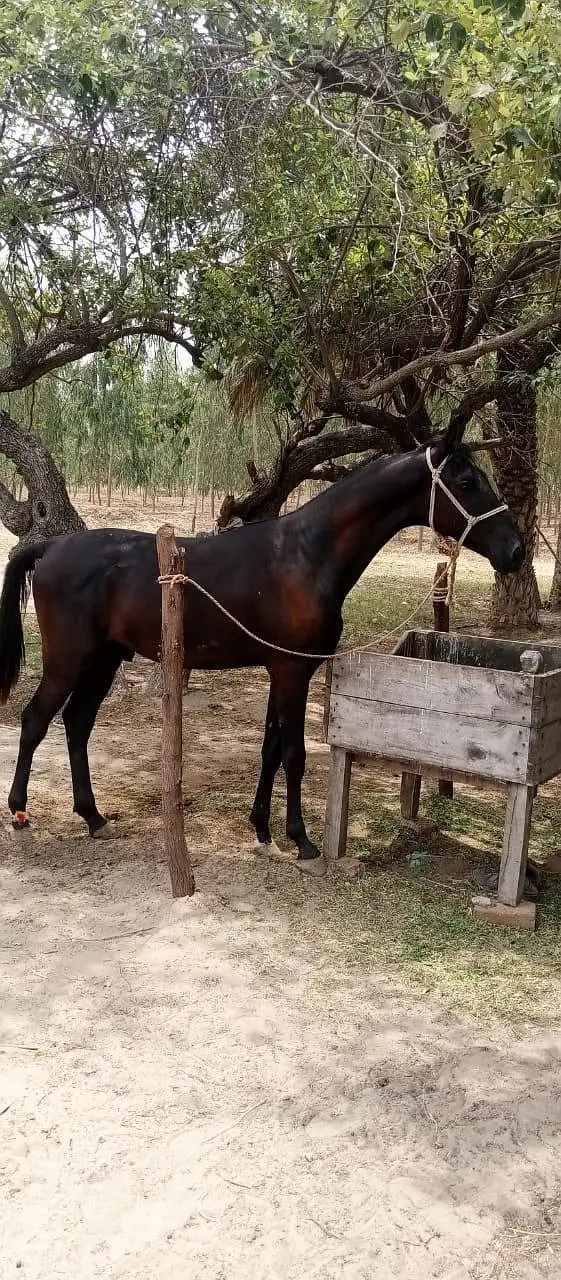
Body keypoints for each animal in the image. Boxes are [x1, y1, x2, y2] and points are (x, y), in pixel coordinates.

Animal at [0, 425, 523, 871]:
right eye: (466, 480)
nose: (516, 551)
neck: (305, 554)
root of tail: (50, 548)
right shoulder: (292, 671)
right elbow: (293, 752)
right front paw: (302, 840)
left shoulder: (283, 671)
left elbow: (270, 748)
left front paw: (262, 829)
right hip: (69, 661)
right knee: (35, 720)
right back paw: (20, 813)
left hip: (103, 661)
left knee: (76, 724)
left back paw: (93, 817)